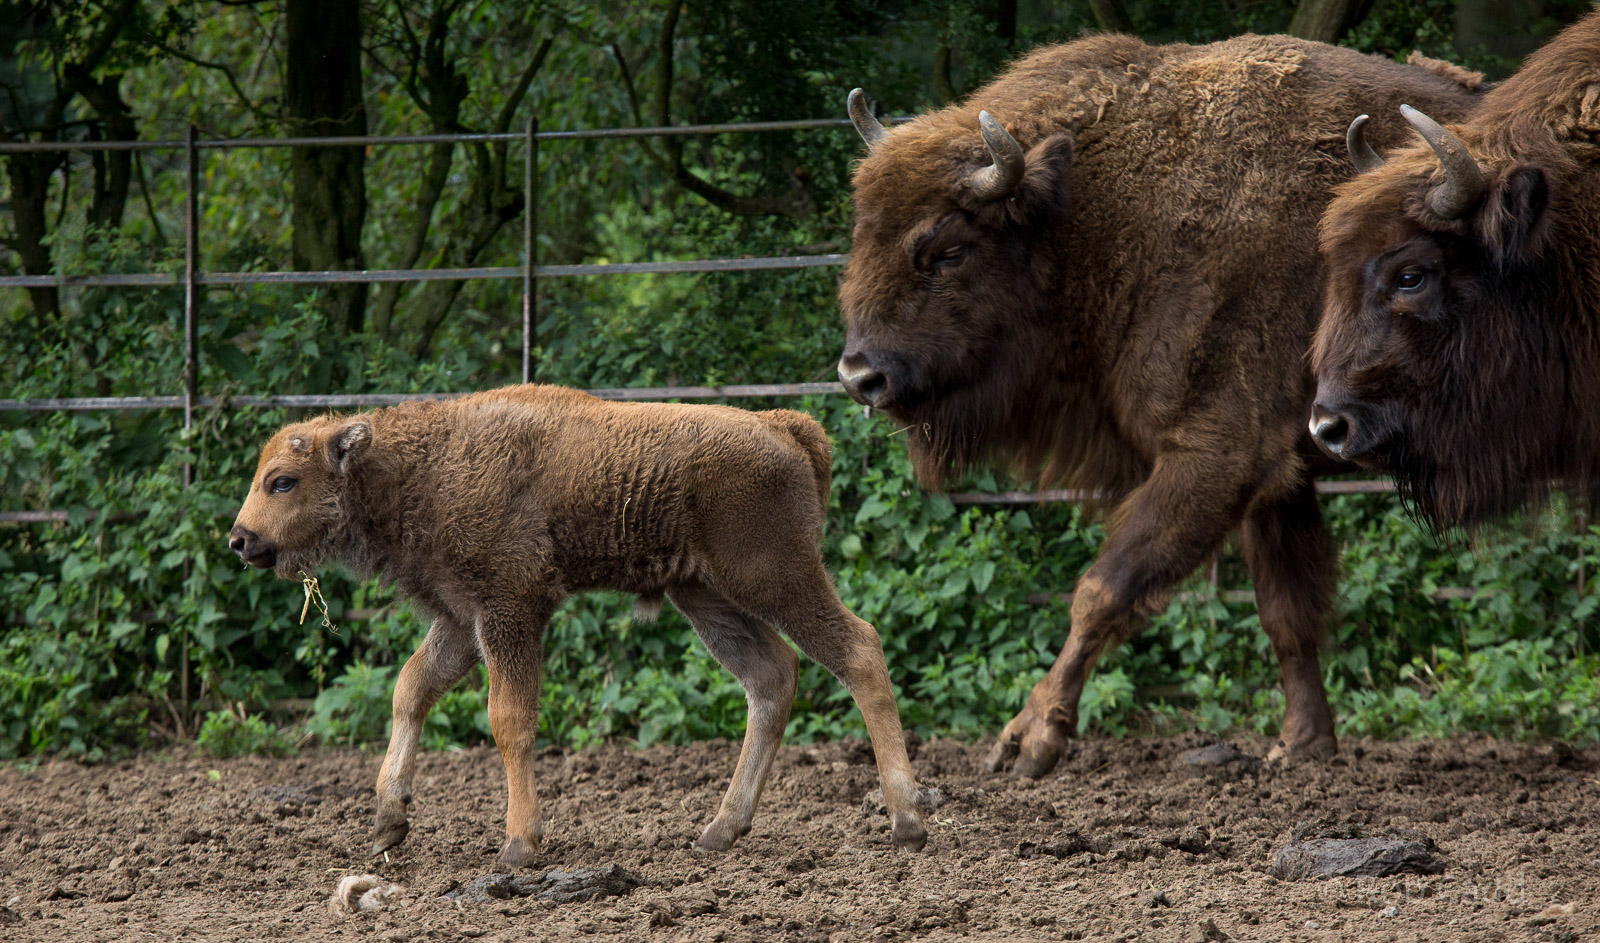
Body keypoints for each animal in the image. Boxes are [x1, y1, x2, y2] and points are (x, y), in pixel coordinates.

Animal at [228, 385, 928, 867]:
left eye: (282, 481)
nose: (240, 541)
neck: (422, 466)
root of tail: (784, 427)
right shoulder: (460, 620)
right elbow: (410, 690)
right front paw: (387, 821)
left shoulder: (511, 610)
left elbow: (508, 719)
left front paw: (519, 845)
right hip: (705, 597)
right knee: (772, 676)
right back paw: (719, 830)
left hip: (774, 577)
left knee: (858, 648)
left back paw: (907, 820)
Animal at [837, 33, 1482, 777]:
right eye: (861, 231)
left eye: (947, 250)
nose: (859, 375)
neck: (1099, 214)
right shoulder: (1277, 476)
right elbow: (1286, 612)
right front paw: (1301, 746)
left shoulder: (1216, 454)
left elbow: (1103, 589)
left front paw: (1027, 741)